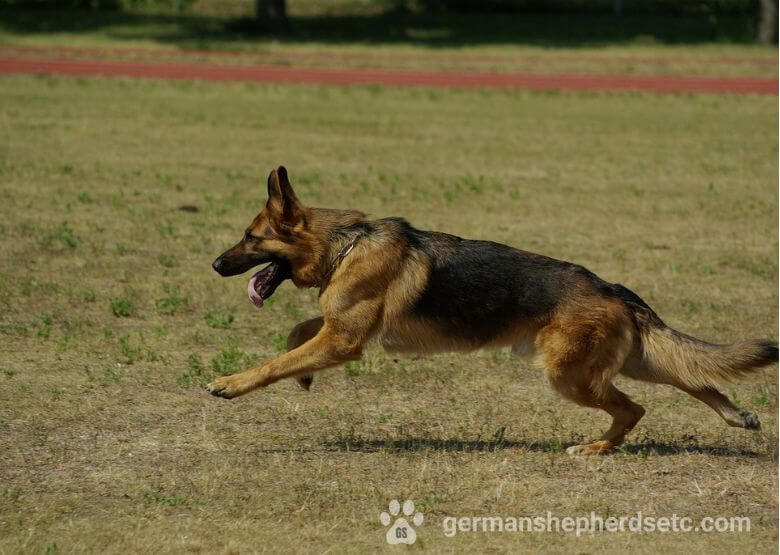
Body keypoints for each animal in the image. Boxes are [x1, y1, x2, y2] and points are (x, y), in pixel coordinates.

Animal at [207, 166, 772, 456]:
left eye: (250, 238)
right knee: (693, 376)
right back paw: (736, 415)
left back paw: (595, 448)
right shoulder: (340, 330)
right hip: (627, 360)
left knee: (635, 409)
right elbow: (297, 336)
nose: (214, 264)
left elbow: (278, 361)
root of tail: (612, 288)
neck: (346, 244)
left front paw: (231, 383)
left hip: (570, 375)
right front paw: (302, 375)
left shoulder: (344, 340)